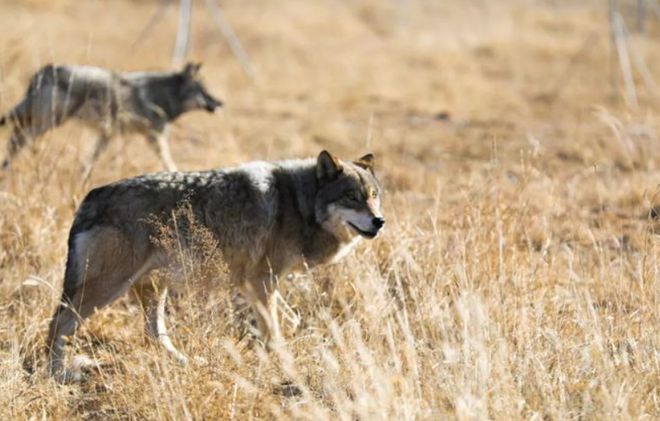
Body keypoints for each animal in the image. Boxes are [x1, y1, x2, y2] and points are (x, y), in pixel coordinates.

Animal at [0, 62, 222, 177]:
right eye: (203, 91)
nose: (220, 103)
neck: (162, 95)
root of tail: (45, 69)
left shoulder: (108, 134)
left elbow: (89, 162)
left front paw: (82, 179)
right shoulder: (154, 137)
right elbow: (169, 161)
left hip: (37, 122)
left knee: (14, 140)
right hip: (46, 123)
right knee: (16, 142)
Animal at [46, 149, 384, 378]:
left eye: (374, 195)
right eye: (352, 197)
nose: (379, 221)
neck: (299, 204)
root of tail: (90, 197)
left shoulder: (254, 284)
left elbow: (289, 320)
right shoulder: (261, 282)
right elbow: (276, 329)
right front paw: (282, 363)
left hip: (152, 289)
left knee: (154, 334)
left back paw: (184, 363)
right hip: (107, 290)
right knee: (57, 324)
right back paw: (59, 373)